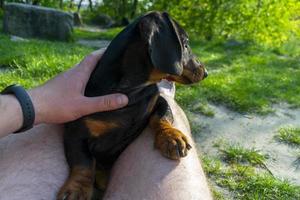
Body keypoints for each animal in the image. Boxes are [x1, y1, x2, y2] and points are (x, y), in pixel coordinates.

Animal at [58, 11, 209, 200]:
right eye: (186, 44)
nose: (206, 73)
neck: (132, 91)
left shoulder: (159, 100)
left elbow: (162, 117)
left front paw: (172, 137)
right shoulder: (76, 131)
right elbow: (83, 162)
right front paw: (77, 189)